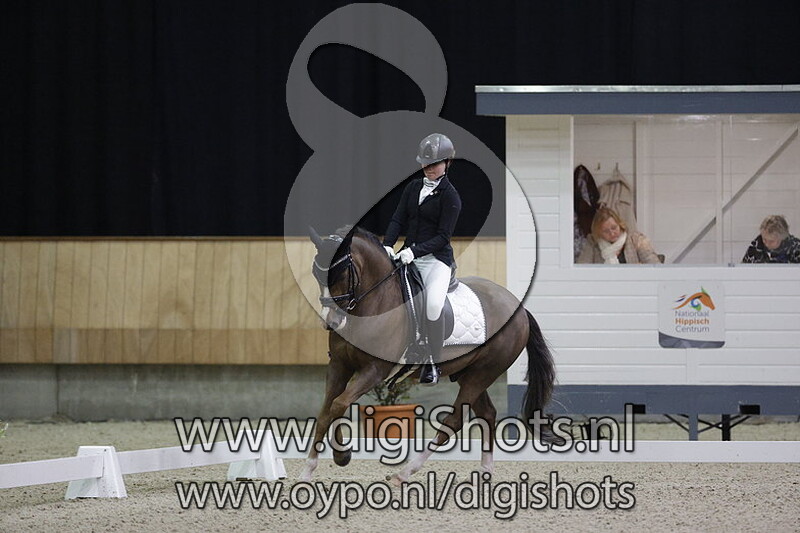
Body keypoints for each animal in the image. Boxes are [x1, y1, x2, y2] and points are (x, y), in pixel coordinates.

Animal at [301, 226, 556, 484]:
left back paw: (404, 473)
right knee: (487, 413)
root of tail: (519, 308)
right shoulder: (340, 365)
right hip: (469, 373)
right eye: (316, 273)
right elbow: (327, 410)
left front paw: (341, 456)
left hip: (484, 372)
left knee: (454, 420)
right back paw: (485, 472)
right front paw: (311, 469)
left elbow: (338, 404)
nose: (331, 322)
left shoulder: (374, 370)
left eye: (342, 273)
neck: (373, 304)